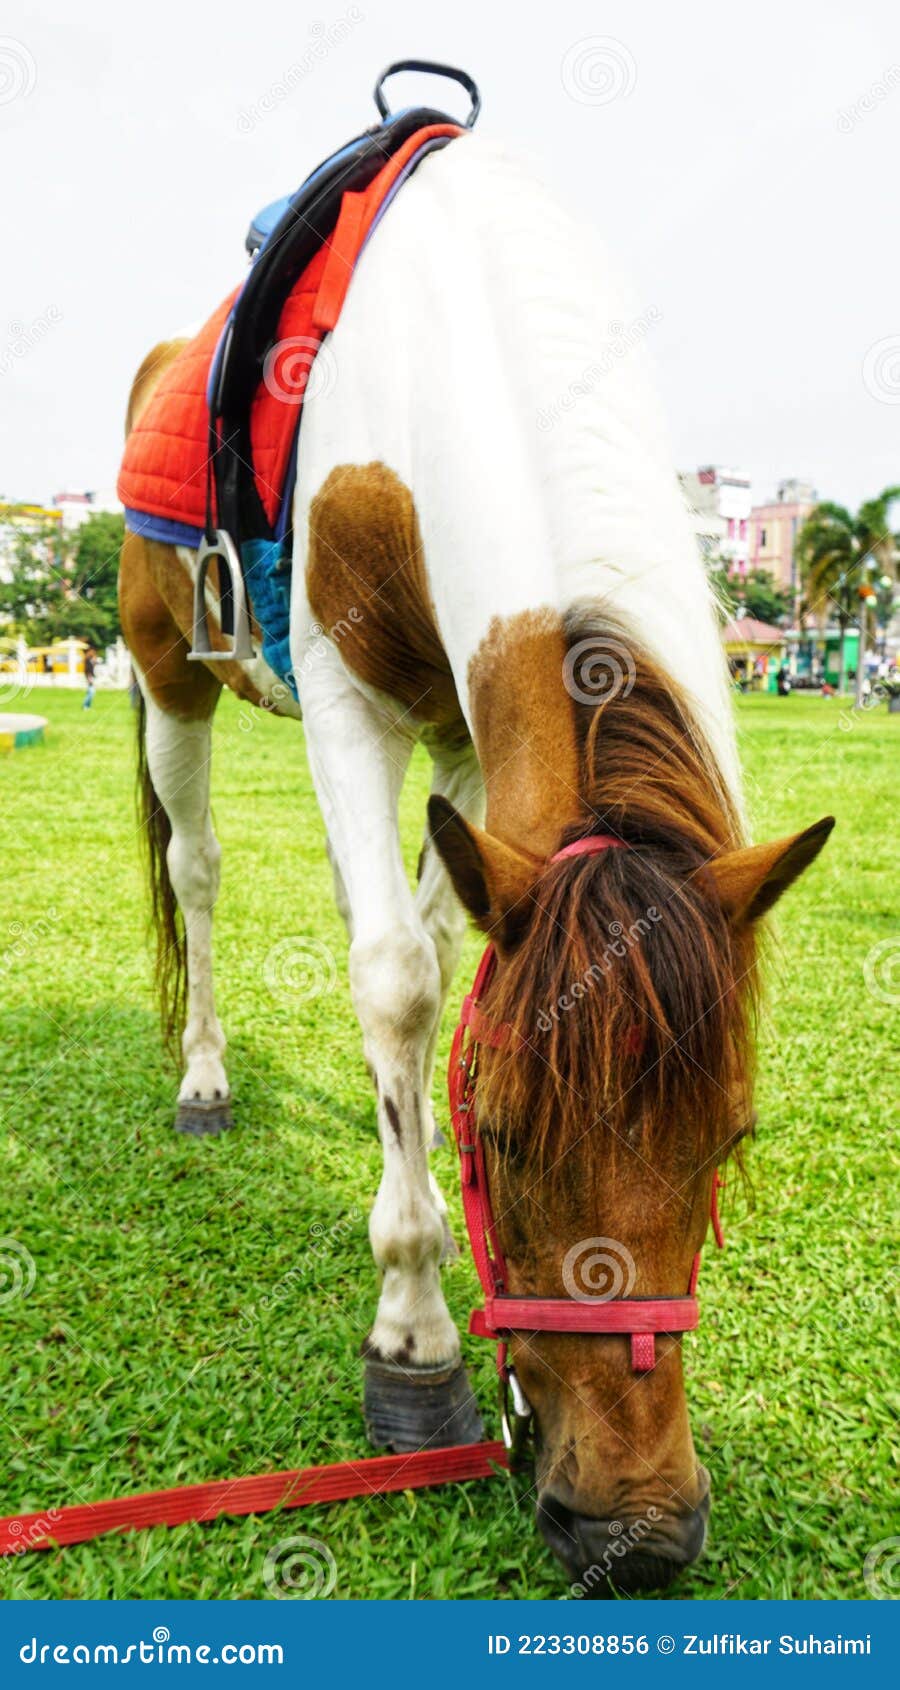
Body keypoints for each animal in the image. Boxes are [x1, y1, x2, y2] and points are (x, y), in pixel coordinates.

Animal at [118, 134, 833, 1593]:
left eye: (730, 1134)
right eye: (502, 1129)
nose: (636, 1530)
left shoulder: (462, 724)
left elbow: (439, 958)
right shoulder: (347, 699)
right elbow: (398, 978)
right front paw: (415, 1332)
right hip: (171, 678)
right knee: (204, 870)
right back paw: (206, 1077)